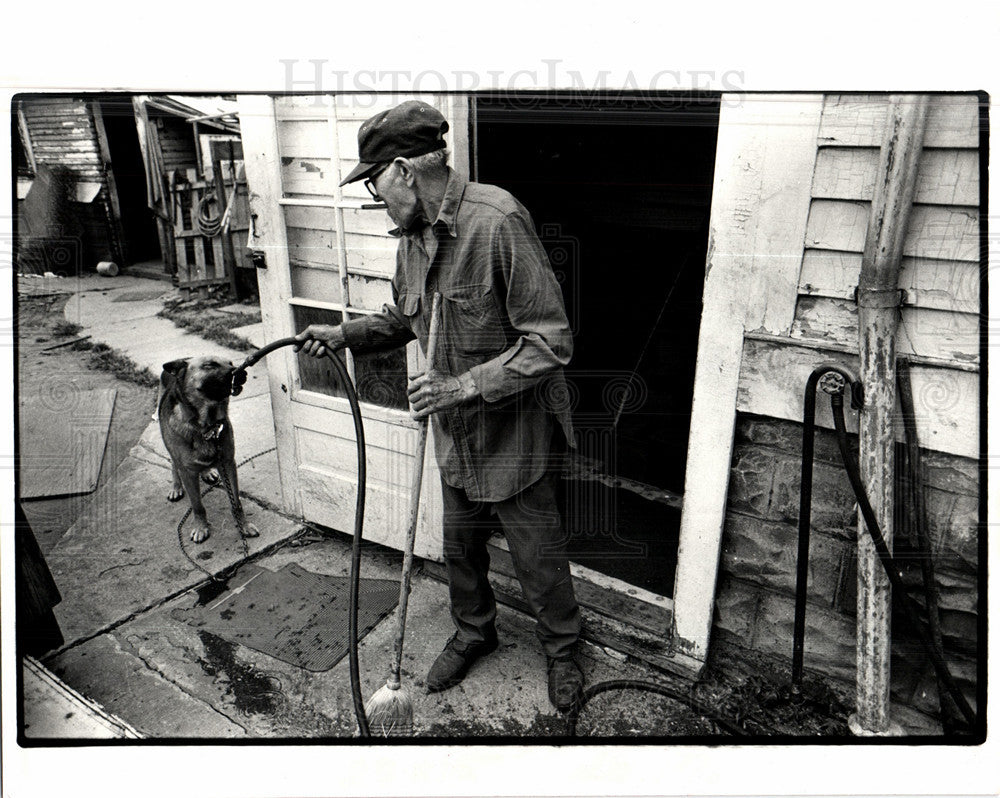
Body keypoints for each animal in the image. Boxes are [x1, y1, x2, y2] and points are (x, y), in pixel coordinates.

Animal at [156, 360, 258, 548]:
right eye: (209, 365)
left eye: (230, 362)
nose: (242, 372)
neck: (207, 428)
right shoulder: (188, 473)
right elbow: (197, 506)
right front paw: (201, 528)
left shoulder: (227, 464)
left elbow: (236, 502)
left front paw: (244, 525)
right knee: (174, 463)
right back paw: (176, 487)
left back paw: (207, 472)